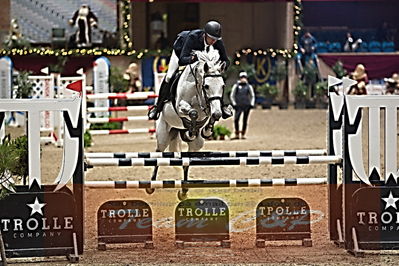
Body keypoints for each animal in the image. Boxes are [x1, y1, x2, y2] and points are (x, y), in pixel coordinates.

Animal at [148, 47, 228, 200]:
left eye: (222, 86)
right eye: (206, 86)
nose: (217, 113)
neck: (196, 89)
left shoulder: (208, 109)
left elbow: (207, 116)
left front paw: (207, 129)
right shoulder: (181, 107)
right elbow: (192, 113)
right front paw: (191, 129)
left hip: (197, 144)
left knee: (186, 162)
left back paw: (184, 191)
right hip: (163, 135)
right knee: (158, 155)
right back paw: (151, 185)